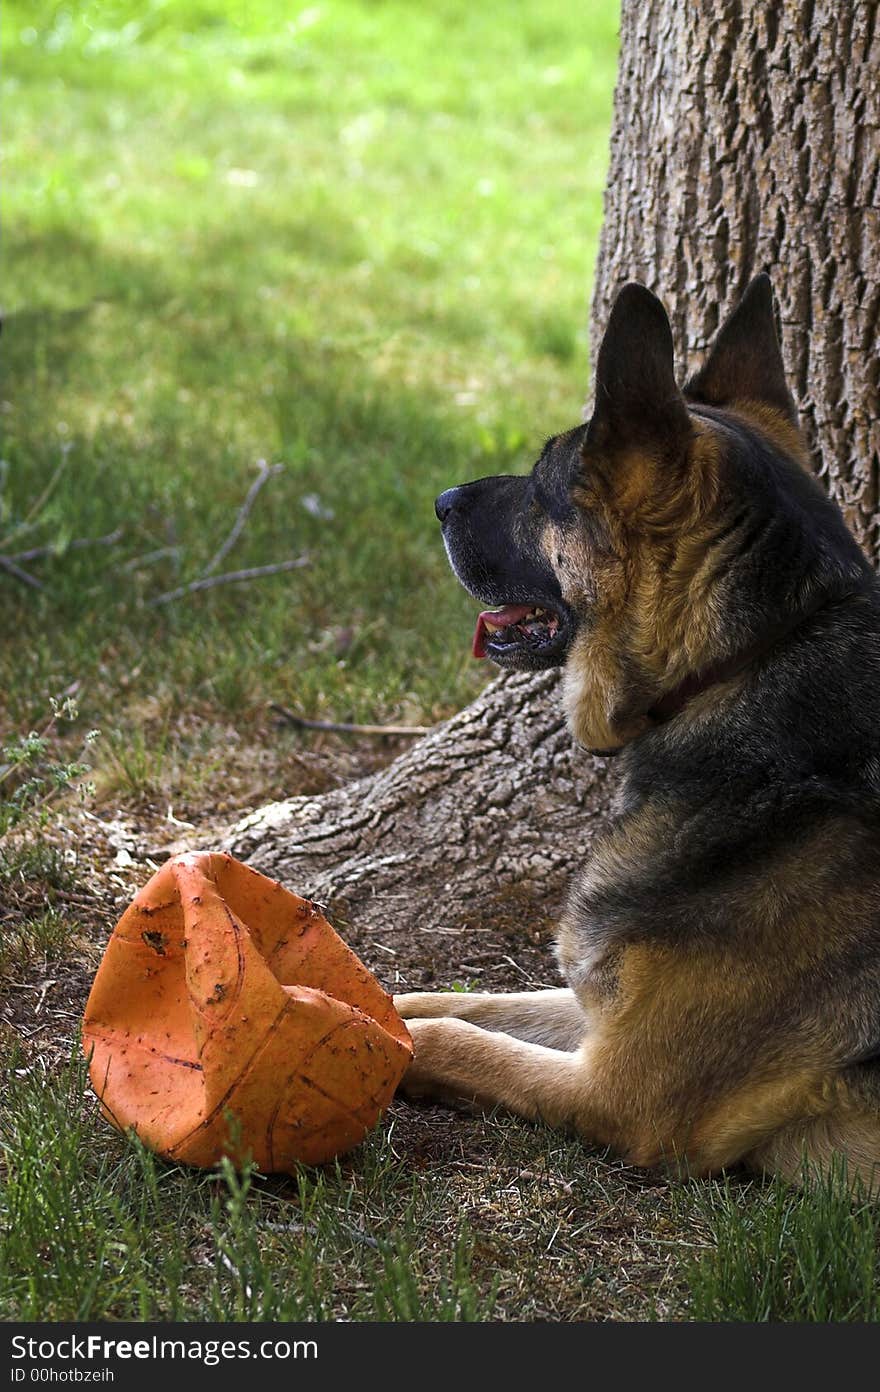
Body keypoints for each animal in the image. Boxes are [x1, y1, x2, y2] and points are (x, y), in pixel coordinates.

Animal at [395, 274, 880, 1185]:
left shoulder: (621, 1094)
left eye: (543, 487)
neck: (741, 665)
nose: (438, 501)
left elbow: (442, 1037)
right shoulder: (597, 1009)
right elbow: (449, 999)